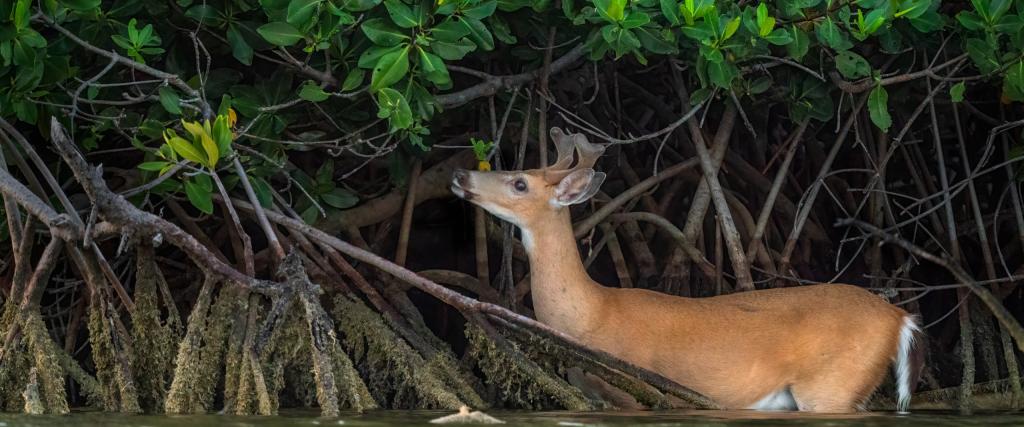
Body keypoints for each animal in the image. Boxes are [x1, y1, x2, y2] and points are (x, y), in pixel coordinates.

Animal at [450, 128, 925, 413]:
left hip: (832, 384)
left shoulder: (633, 391)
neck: (591, 315)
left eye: (520, 183)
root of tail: (899, 317)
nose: (460, 175)